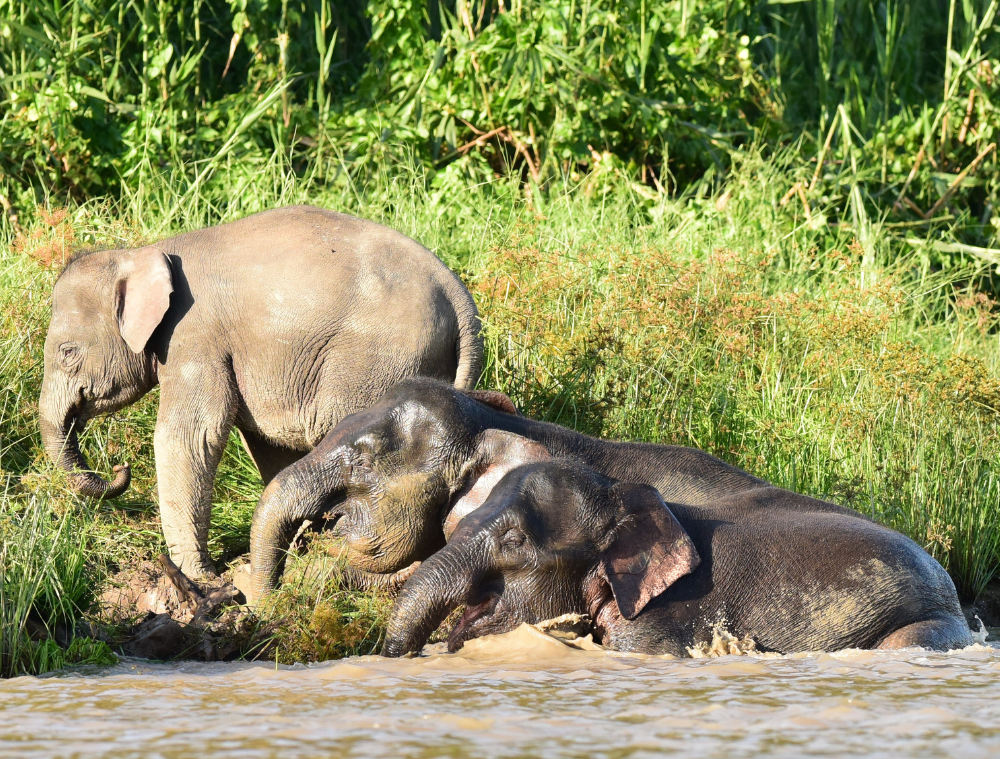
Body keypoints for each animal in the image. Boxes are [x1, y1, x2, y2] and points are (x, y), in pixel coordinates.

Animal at [41, 206, 486, 576]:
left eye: (67, 352)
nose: (120, 469)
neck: (143, 253)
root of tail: (460, 299)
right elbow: (267, 444)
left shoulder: (193, 336)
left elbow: (192, 435)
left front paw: (197, 576)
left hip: (375, 361)